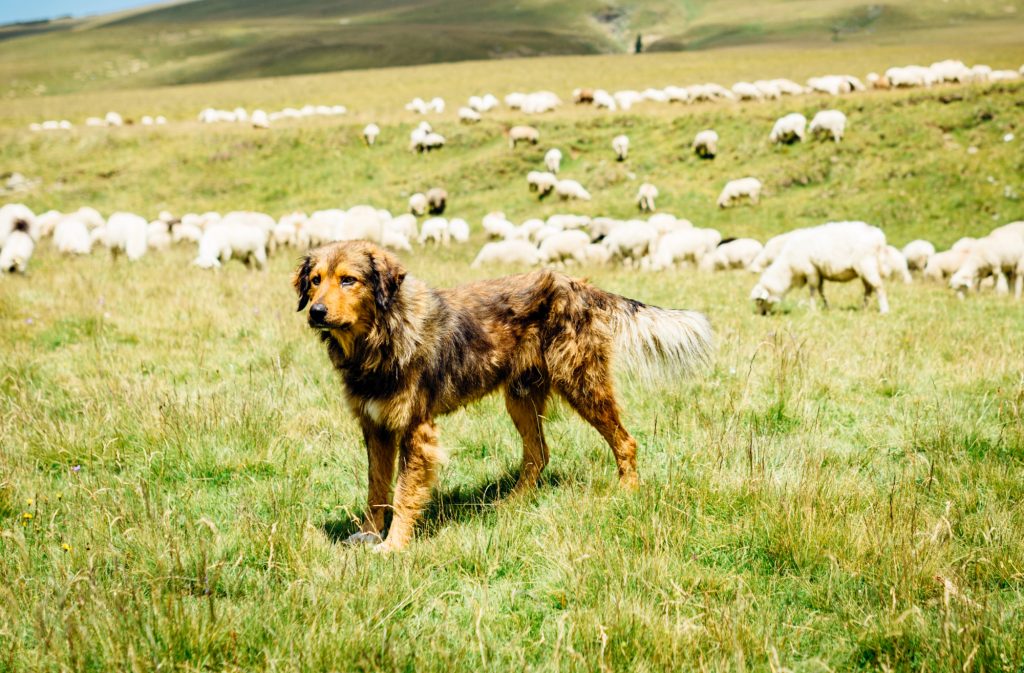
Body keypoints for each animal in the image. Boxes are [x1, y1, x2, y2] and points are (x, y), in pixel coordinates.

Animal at [294, 241, 712, 553]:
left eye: (348, 280)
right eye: (315, 281)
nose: (316, 312)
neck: (379, 338)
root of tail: (576, 284)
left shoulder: (415, 428)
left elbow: (403, 493)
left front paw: (394, 545)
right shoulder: (375, 425)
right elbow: (376, 487)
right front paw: (368, 534)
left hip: (582, 384)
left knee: (625, 441)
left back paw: (627, 492)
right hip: (521, 397)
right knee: (538, 454)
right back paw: (512, 503)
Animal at [749, 222, 892, 313]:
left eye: (759, 301)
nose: (761, 314)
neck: (789, 269)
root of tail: (879, 236)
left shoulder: (810, 270)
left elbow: (812, 290)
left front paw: (812, 309)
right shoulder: (819, 272)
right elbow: (821, 291)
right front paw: (826, 307)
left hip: (867, 264)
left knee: (878, 286)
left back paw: (884, 310)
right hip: (864, 269)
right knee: (869, 288)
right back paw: (864, 308)